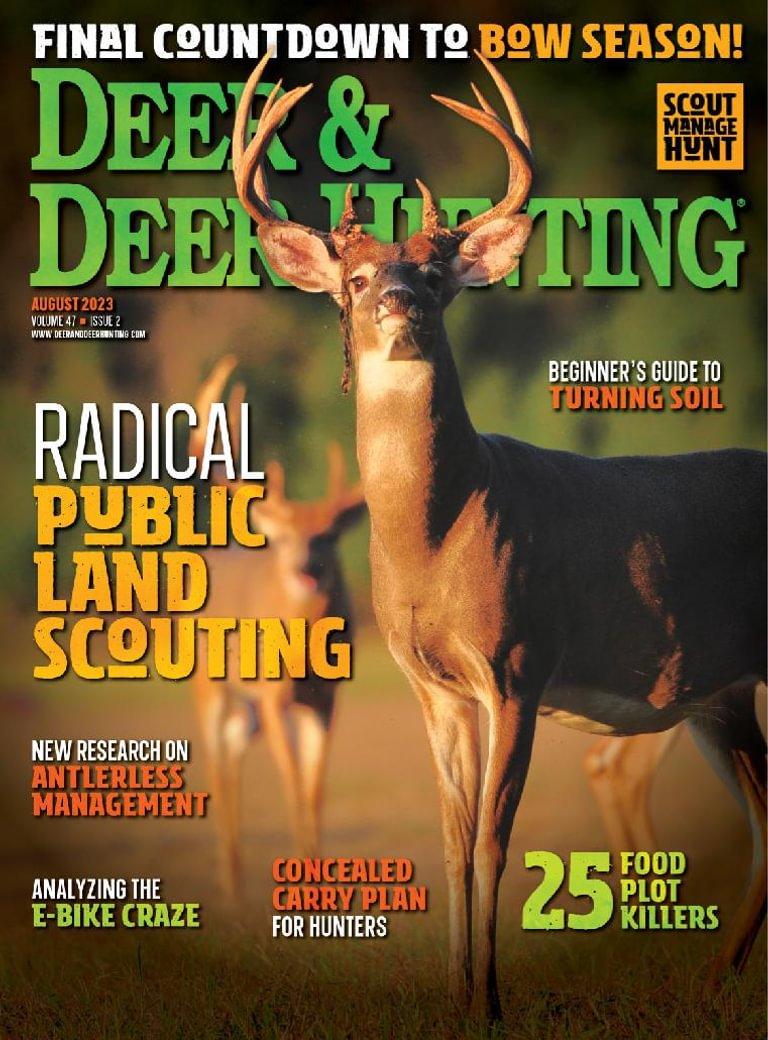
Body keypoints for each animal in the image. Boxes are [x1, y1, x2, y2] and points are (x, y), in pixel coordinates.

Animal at [190, 355, 366, 899]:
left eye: (329, 535)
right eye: (286, 536)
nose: (307, 568)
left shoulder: (326, 697)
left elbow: (315, 790)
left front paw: (319, 875)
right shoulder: (272, 694)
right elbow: (292, 787)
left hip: (246, 707)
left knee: (232, 755)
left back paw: (235, 877)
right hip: (212, 685)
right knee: (216, 767)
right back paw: (230, 887)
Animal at [232, 52, 767, 1018]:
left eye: (435, 276)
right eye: (356, 279)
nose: (398, 302)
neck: (439, 538)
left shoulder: (520, 661)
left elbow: (492, 837)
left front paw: (487, 1000)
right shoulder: (433, 685)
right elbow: (450, 840)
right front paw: (453, 995)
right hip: (722, 696)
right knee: (767, 822)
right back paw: (715, 977)